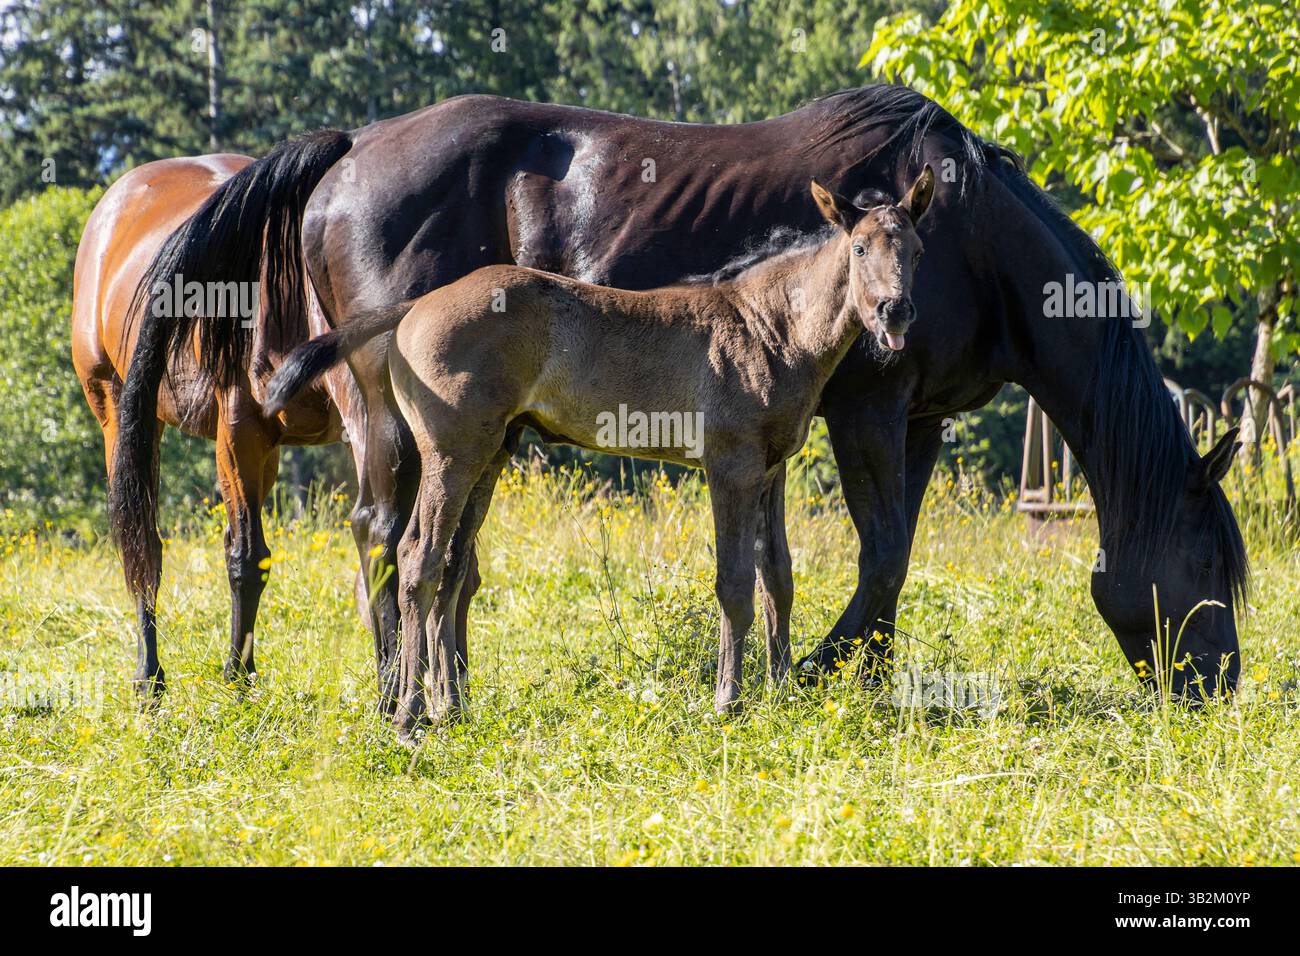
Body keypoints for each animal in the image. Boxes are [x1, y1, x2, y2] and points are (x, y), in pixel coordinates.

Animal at [72, 154, 366, 698]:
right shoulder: (240, 431)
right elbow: (247, 561)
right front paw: (238, 679)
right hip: (121, 414)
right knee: (143, 547)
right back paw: (150, 678)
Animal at [113, 86, 1248, 700]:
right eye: (1204, 565)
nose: (1218, 687)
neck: (973, 238)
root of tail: (349, 153)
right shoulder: (869, 406)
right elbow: (879, 553)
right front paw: (822, 674)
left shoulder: (915, 413)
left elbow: (887, 557)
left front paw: (861, 678)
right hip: (385, 416)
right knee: (384, 536)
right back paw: (402, 692)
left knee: (434, 553)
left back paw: (446, 688)